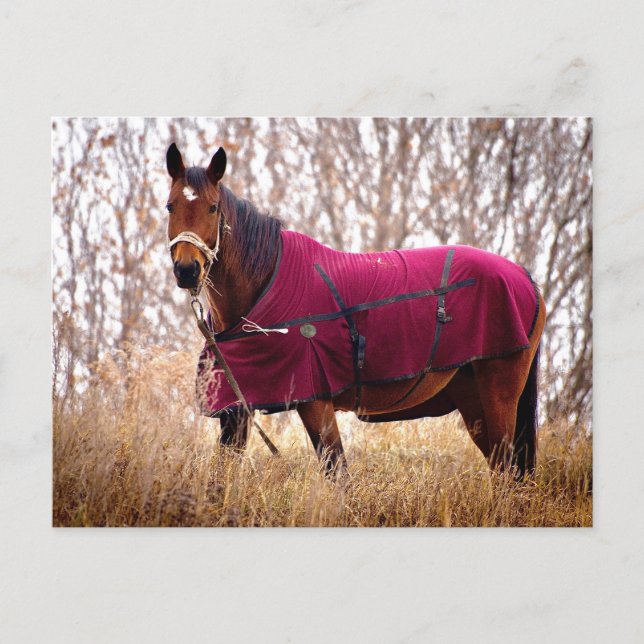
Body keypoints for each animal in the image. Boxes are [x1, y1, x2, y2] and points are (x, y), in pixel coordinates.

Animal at [165, 143, 546, 479]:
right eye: (170, 206)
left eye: (213, 208)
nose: (187, 270)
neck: (262, 289)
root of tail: (525, 278)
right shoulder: (237, 411)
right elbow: (222, 477)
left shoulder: (315, 402)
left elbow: (338, 474)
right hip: (473, 398)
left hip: (499, 392)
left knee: (508, 470)